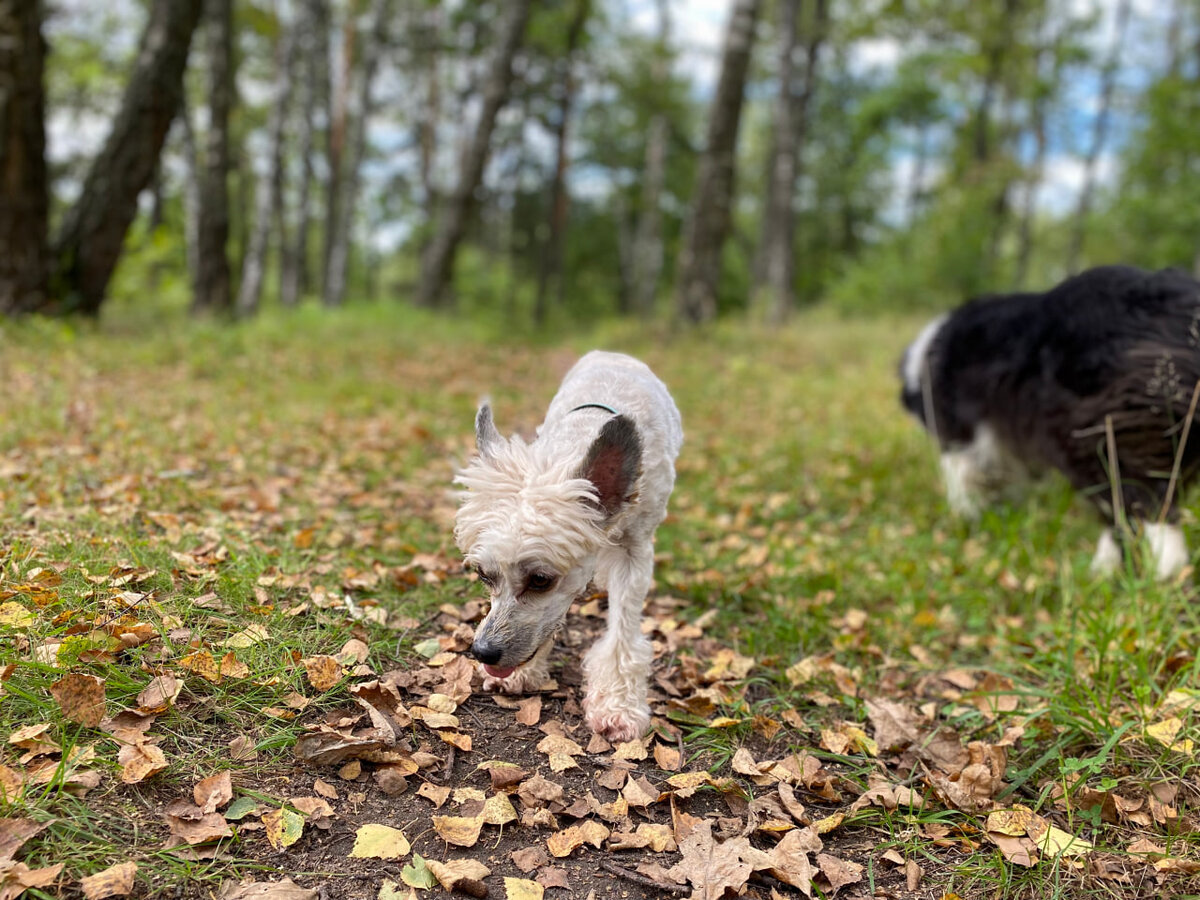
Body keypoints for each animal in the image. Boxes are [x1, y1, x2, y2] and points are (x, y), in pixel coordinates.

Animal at [453, 350, 686, 739]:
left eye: (540, 580)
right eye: (484, 575)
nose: (483, 652)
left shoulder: (635, 550)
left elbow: (622, 636)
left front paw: (618, 705)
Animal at [902, 264, 1200, 580]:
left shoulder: (960, 436)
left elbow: (961, 481)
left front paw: (966, 519)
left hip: (1102, 440)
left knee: (1149, 511)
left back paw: (1143, 573)